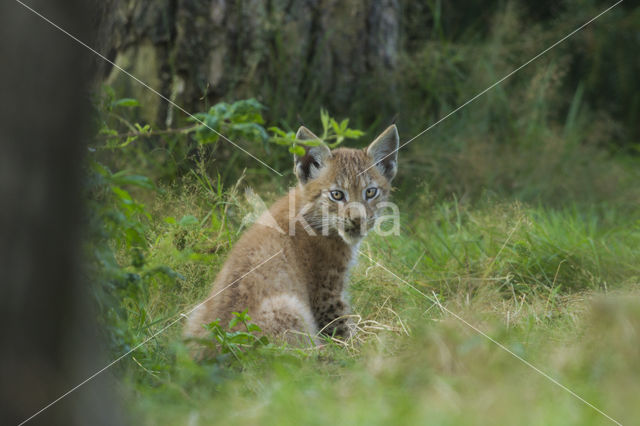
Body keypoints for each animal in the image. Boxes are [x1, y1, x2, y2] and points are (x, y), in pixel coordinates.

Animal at [182, 124, 398, 352]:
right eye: (337, 195)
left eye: (371, 192)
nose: (358, 220)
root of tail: (218, 346)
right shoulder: (327, 294)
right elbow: (345, 333)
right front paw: (365, 348)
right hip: (292, 309)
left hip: (196, 313)